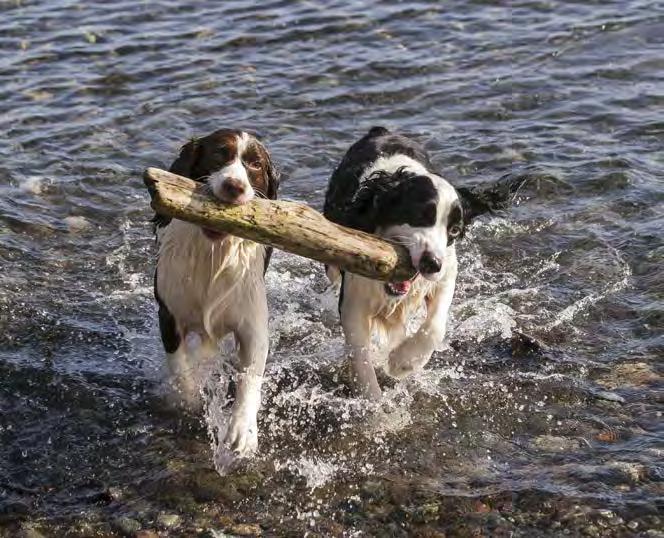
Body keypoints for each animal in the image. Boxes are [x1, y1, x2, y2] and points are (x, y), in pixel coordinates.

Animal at [154, 127, 278, 454]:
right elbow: (179, 367)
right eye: (219, 153)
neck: (213, 253)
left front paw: (243, 430)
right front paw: (188, 397)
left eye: (255, 165)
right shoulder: (168, 314)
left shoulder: (252, 324)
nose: (234, 186)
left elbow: (250, 377)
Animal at [324, 126, 506, 398]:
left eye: (454, 230)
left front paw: (403, 362)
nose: (432, 263)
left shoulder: (446, 273)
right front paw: (376, 404)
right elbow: (362, 359)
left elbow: (435, 327)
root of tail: (381, 130)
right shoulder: (354, 301)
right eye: (421, 214)